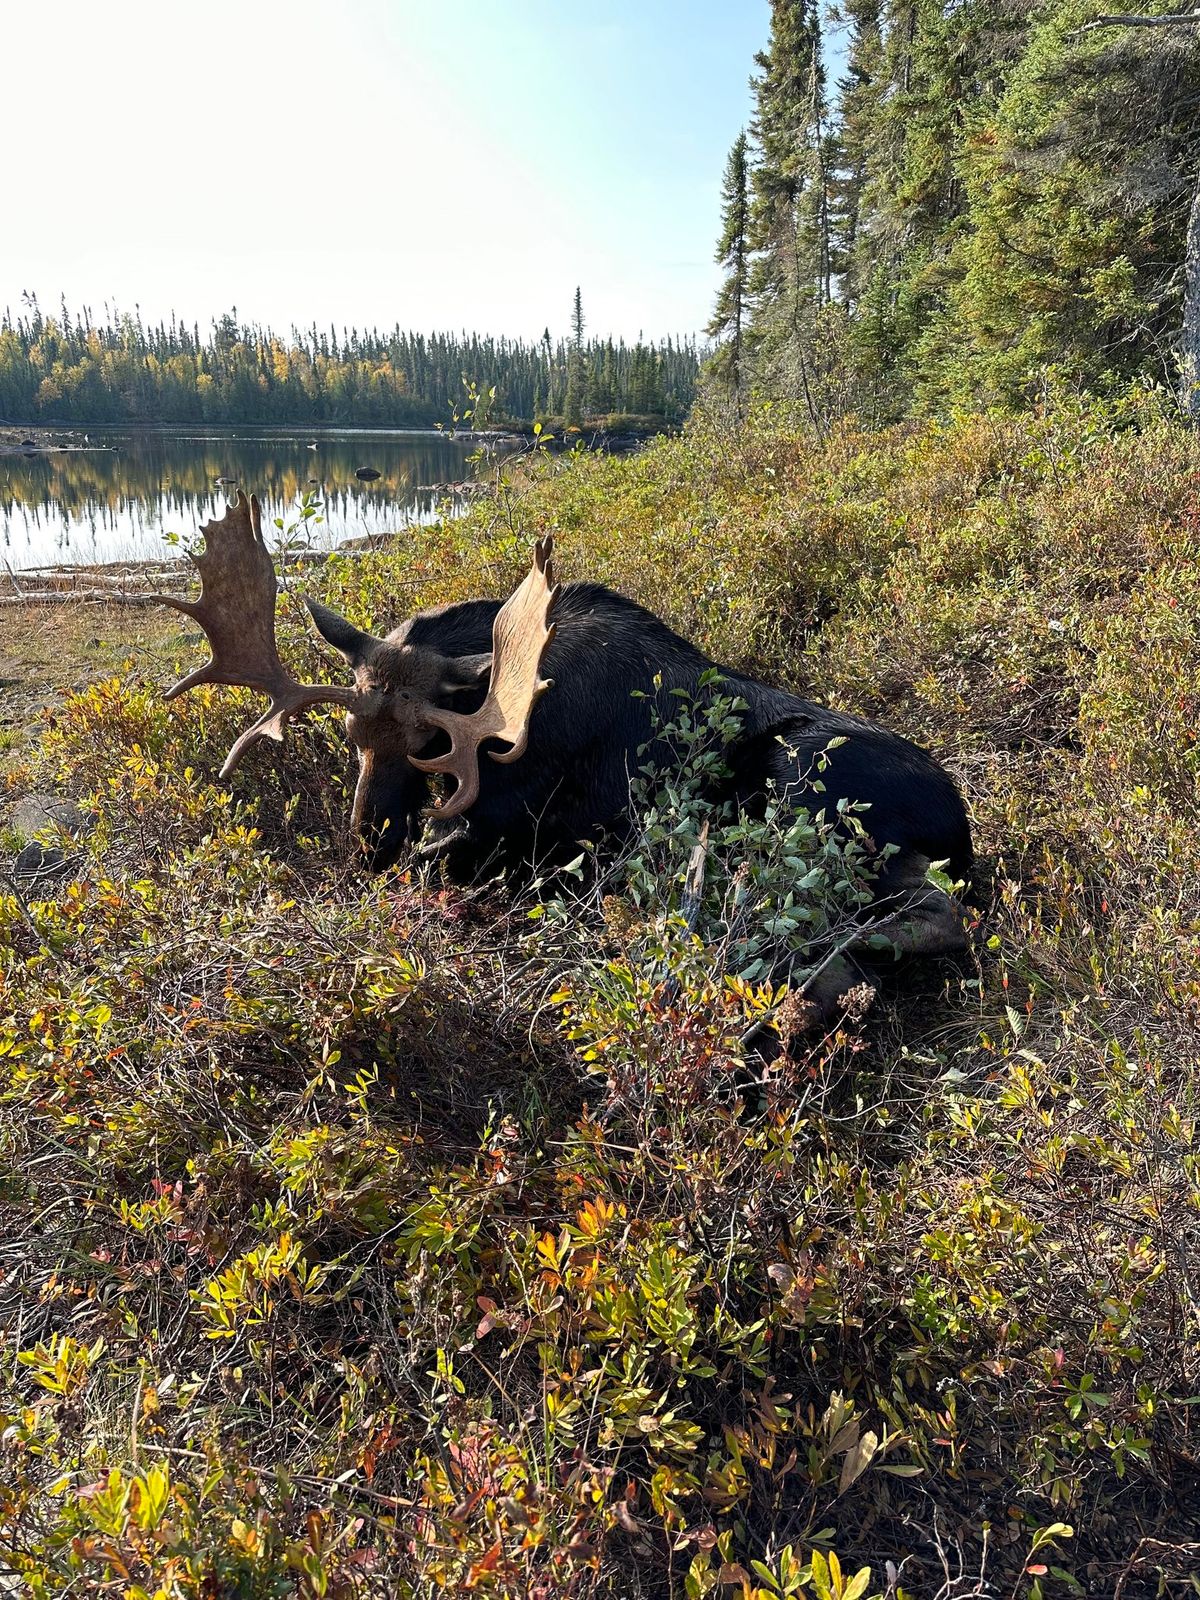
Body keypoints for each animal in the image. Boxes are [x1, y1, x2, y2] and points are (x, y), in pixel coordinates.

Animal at [152, 492, 979, 1004]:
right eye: (353, 739)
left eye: (428, 745)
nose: (368, 843)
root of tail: (963, 823)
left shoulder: (528, 819)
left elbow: (448, 853)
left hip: (805, 775)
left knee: (932, 912)